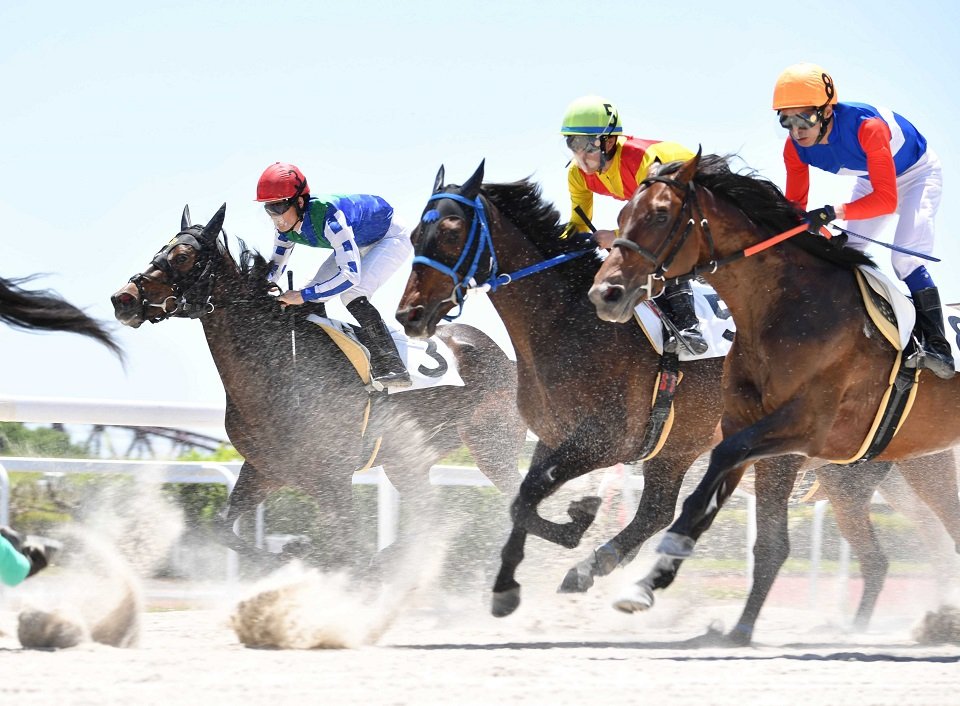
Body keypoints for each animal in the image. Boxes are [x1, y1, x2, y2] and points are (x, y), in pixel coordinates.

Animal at [109, 204, 526, 571]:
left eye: (182, 256)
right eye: (160, 250)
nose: (122, 298)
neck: (276, 365)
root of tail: (508, 362)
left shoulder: (333, 477)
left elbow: (347, 548)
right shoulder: (265, 470)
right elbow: (222, 529)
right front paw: (287, 561)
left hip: (492, 448)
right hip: (408, 461)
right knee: (433, 519)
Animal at [589, 151, 960, 643]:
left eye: (661, 214)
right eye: (621, 216)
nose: (605, 293)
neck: (789, 308)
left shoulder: (803, 429)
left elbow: (720, 469)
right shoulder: (755, 433)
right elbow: (760, 533)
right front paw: (655, 588)